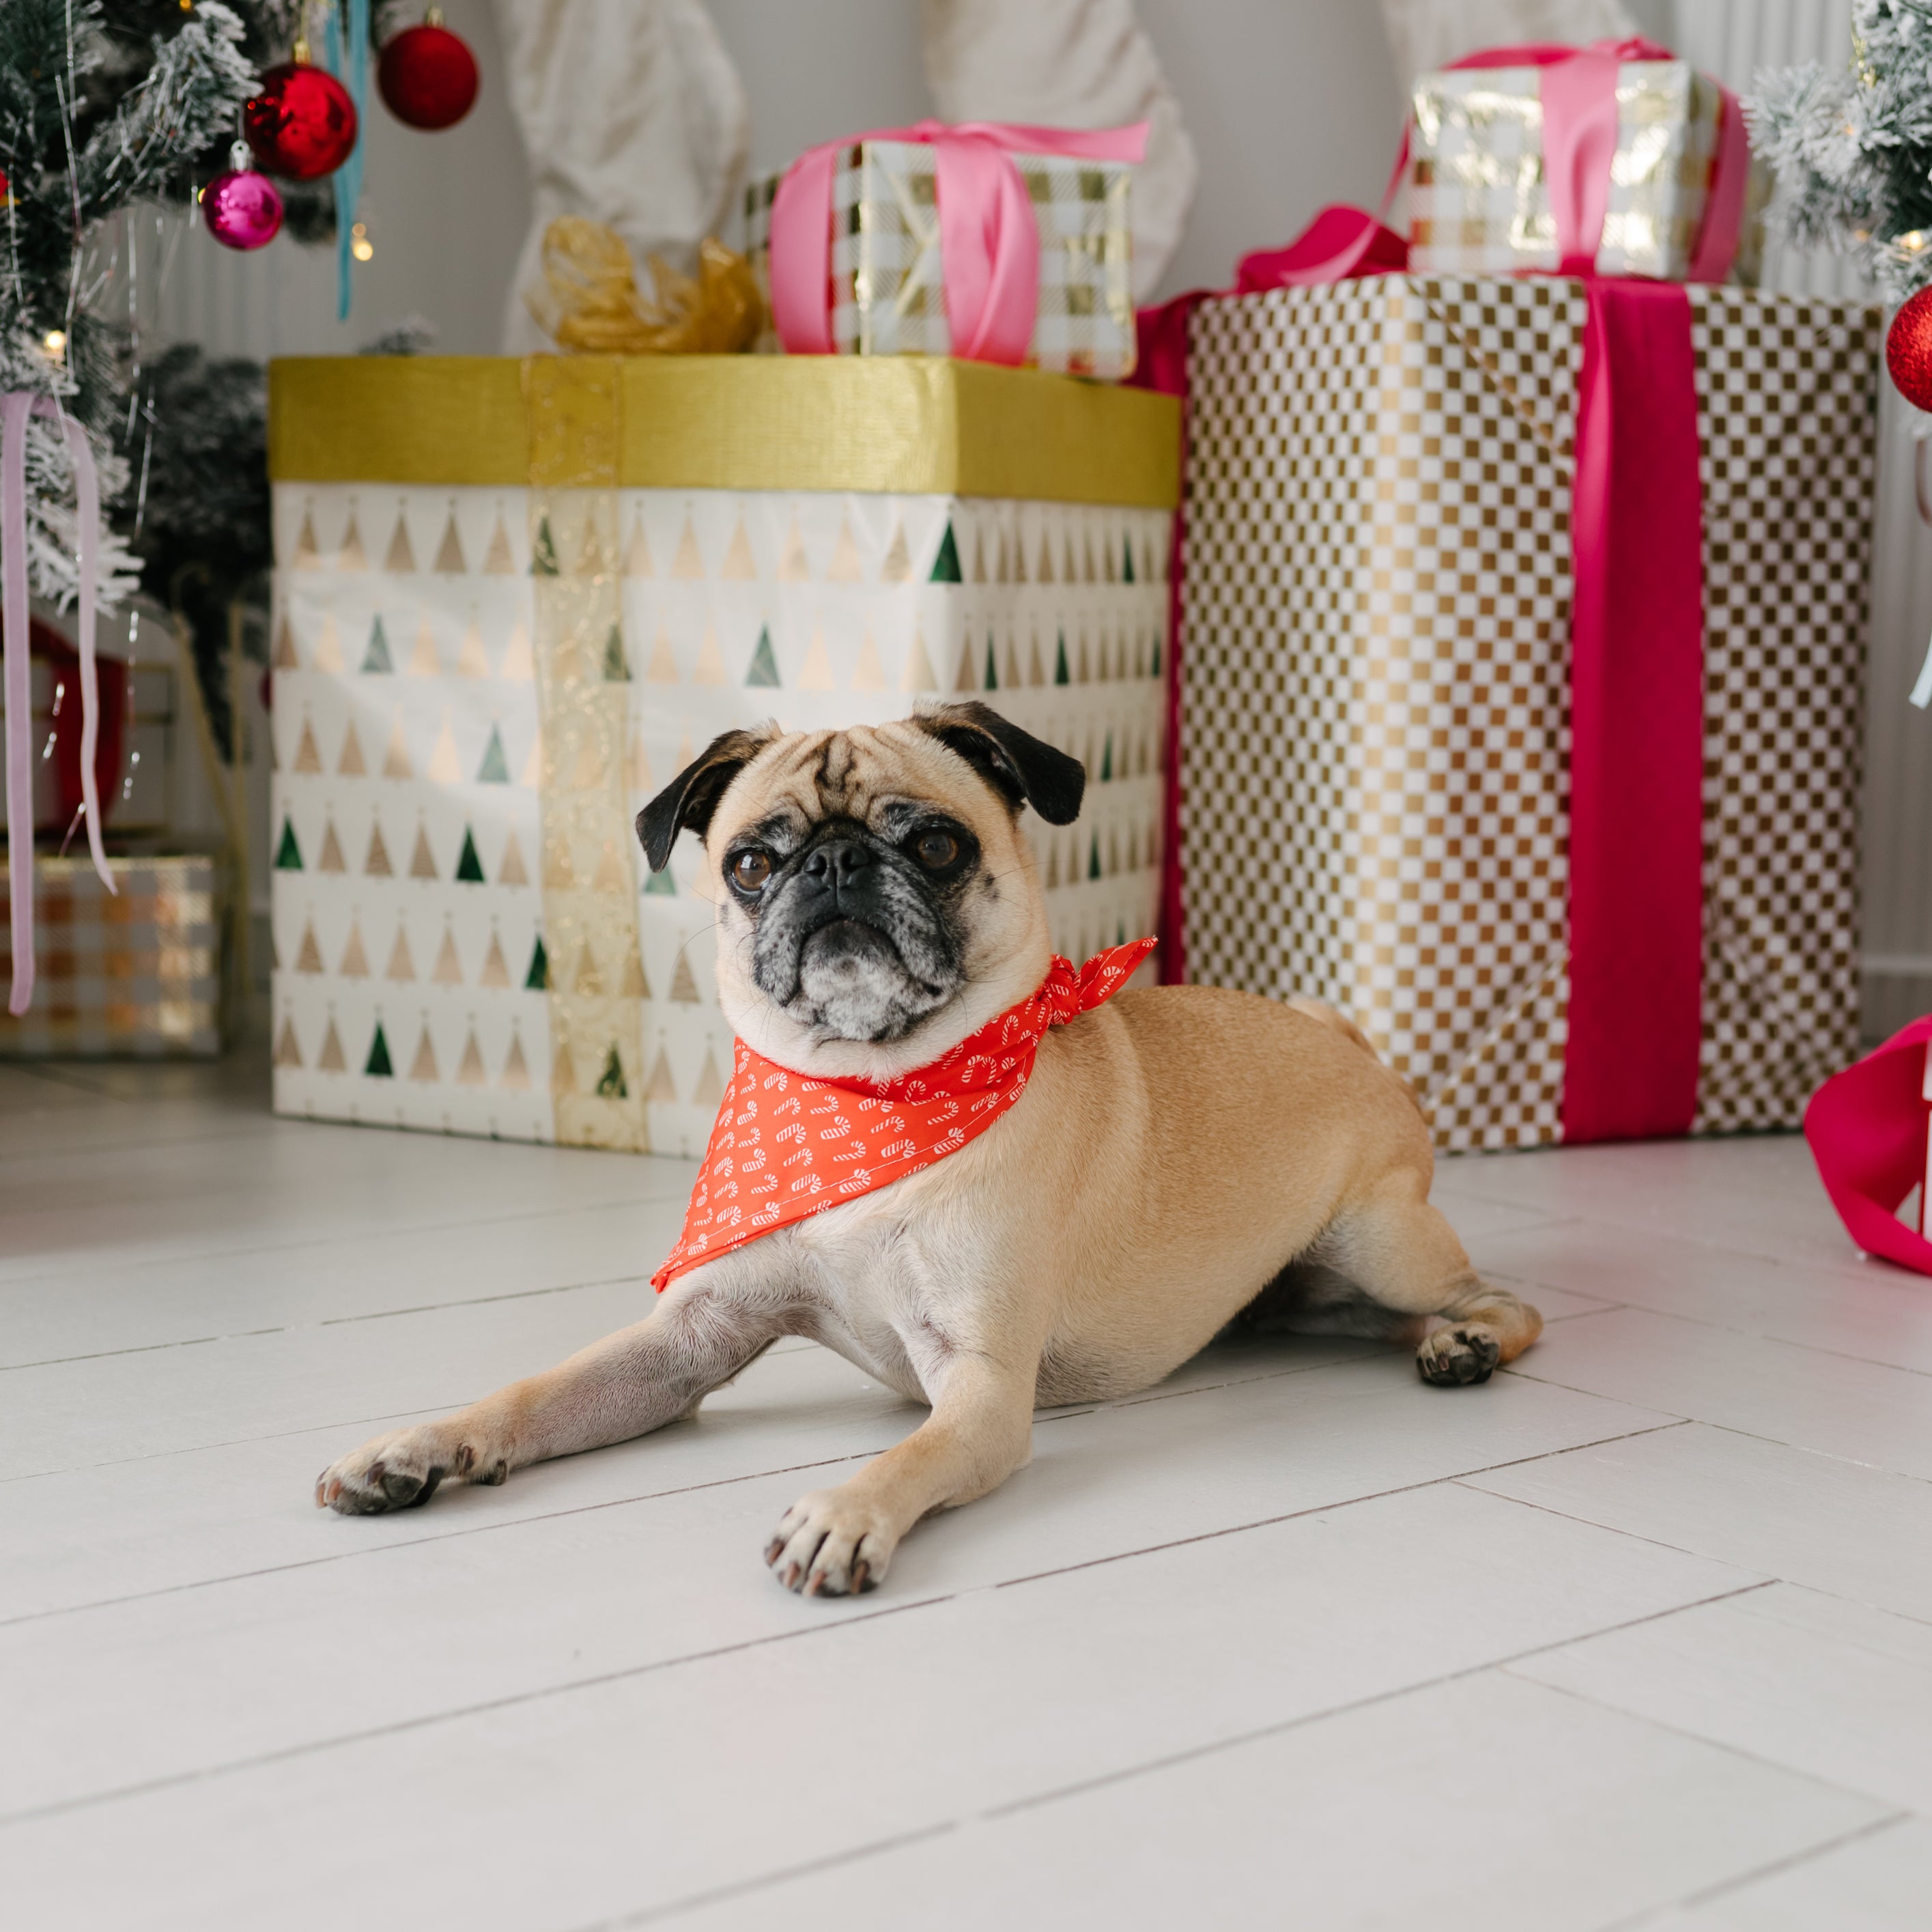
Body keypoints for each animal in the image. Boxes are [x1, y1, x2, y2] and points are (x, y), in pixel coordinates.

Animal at [324, 703, 1546, 1591]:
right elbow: (538, 1393)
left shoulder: (982, 1386)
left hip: (1379, 1234)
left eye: (936, 843)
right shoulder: (686, 1343)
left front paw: (843, 1509)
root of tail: (1337, 1030)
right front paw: (421, 1443)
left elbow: (910, 1451)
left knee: (1500, 1296)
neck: (869, 1091)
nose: (831, 866)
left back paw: (1465, 1343)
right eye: (751, 864)